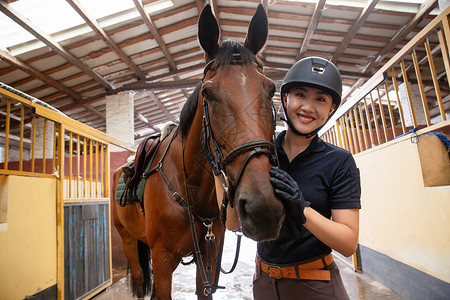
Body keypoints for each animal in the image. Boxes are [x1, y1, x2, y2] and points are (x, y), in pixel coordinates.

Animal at [110, 3, 284, 298]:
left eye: (271, 89)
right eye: (207, 94)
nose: (264, 209)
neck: (191, 187)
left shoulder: (210, 254)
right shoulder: (162, 260)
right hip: (128, 240)